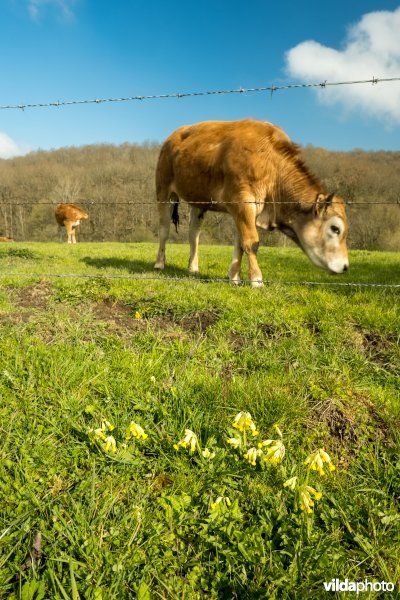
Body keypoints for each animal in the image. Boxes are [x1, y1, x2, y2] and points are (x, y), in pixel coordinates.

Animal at [155, 118, 348, 288]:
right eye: (335, 228)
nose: (345, 266)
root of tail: (174, 135)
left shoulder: (243, 208)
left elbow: (239, 243)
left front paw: (234, 277)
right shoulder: (243, 201)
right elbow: (251, 242)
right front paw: (256, 280)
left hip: (198, 200)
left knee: (194, 234)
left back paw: (193, 267)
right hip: (163, 190)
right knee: (164, 229)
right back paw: (159, 263)